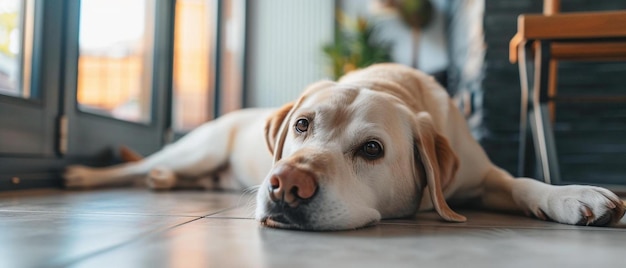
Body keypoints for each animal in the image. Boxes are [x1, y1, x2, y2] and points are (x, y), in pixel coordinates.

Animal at [64, 62, 624, 230]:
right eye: (302, 125)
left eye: (372, 150)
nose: (285, 184)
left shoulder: (483, 176)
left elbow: (525, 181)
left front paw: (573, 195)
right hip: (196, 148)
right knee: (139, 167)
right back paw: (83, 174)